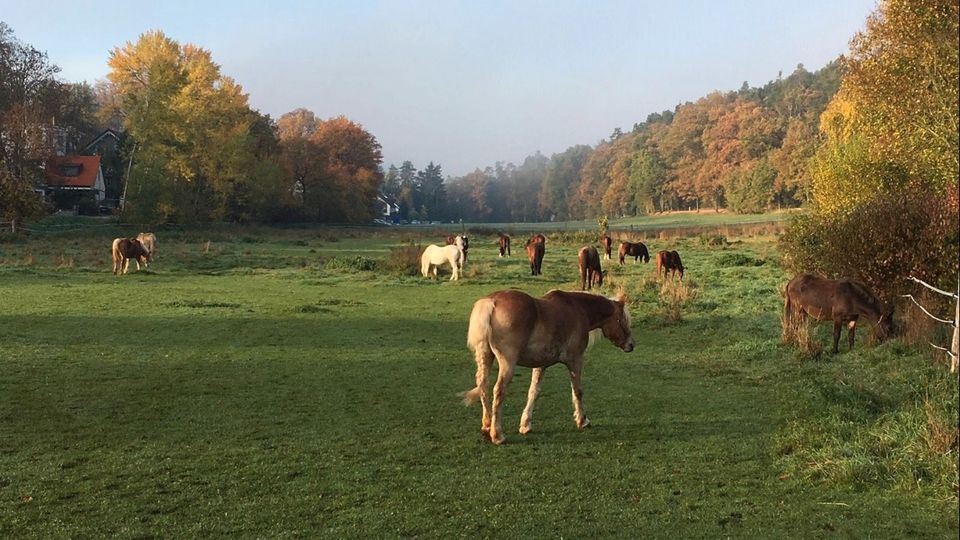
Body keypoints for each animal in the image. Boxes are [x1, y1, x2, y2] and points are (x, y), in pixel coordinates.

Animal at [462, 288, 632, 446]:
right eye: (621, 320)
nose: (631, 344)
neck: (578, 309)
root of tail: (492, 301)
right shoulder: (575, 360)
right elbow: (577, 391)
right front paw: (582, 420)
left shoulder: (540, 365)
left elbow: (534, 392)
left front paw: (526, 424)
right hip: (507, 363)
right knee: (498, 390)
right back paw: (497, 435)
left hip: (485, 357)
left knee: (483, 386)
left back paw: (487, 427)